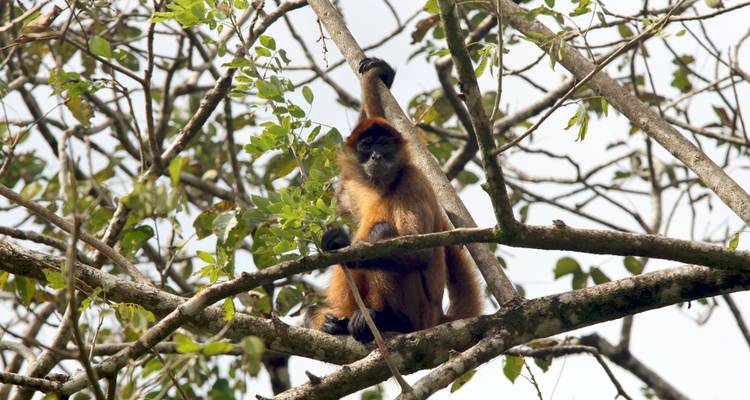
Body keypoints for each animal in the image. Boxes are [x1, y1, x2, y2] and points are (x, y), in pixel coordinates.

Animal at [304, 57, 482, 343]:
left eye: (385, 145)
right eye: (367, 146)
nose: (376, 156)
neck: (383, 187)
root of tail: (437, 317)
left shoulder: (413, 181)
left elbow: (419, 253)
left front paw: (343, 245)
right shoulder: (358, 184)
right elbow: (343, 194)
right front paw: (384, 77)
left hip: (418, 310)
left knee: (382, 231)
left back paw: (388, 320)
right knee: (312, 312)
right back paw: (333, 324)